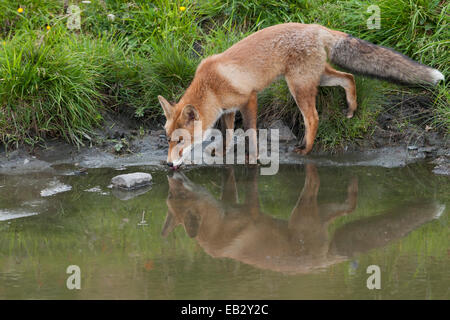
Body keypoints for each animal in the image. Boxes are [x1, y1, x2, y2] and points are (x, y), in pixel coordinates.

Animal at [157, 23, 442, 168]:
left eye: (180, 140)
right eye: (168, 140)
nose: (169, 165)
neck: (212, 86)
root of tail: (318, 27)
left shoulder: (249, 99)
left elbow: (250, 132)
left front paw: (253, 158)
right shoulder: (228, 110)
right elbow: (227, 135)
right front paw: (224, 153)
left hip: (298, 86)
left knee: (313, 117)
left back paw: (306, 150)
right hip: (318, 77)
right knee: (348, 78)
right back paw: (351, 108)